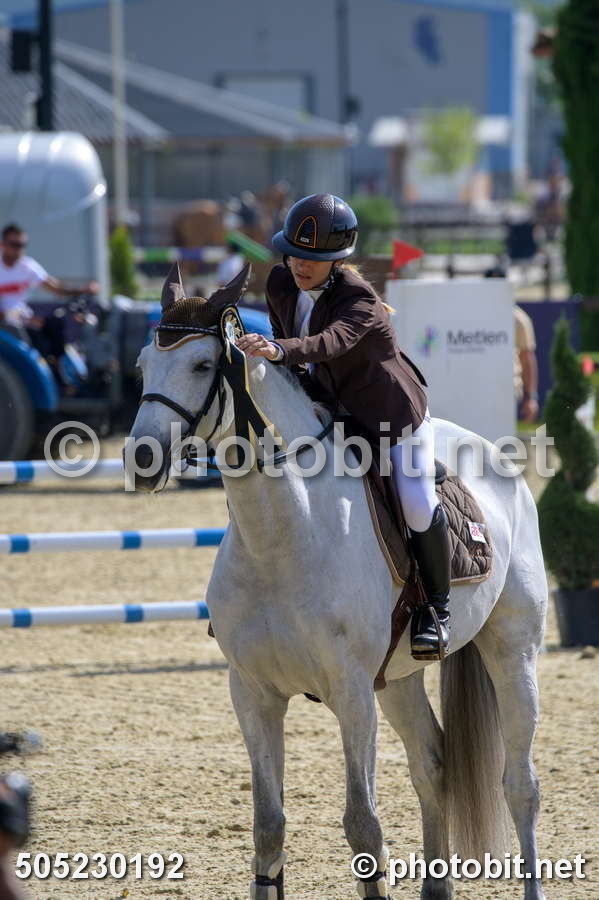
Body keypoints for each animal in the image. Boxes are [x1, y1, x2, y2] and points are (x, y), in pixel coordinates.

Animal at [127, 268, 548, 900]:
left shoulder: (350, 695)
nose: (142, 460)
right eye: (142, 365)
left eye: (203, 365)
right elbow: (268, 825)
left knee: (520, 784)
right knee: (433, 765)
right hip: (397, 679)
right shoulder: (253, 693)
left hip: (512, 652)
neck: (282, 537)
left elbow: (363, 825)